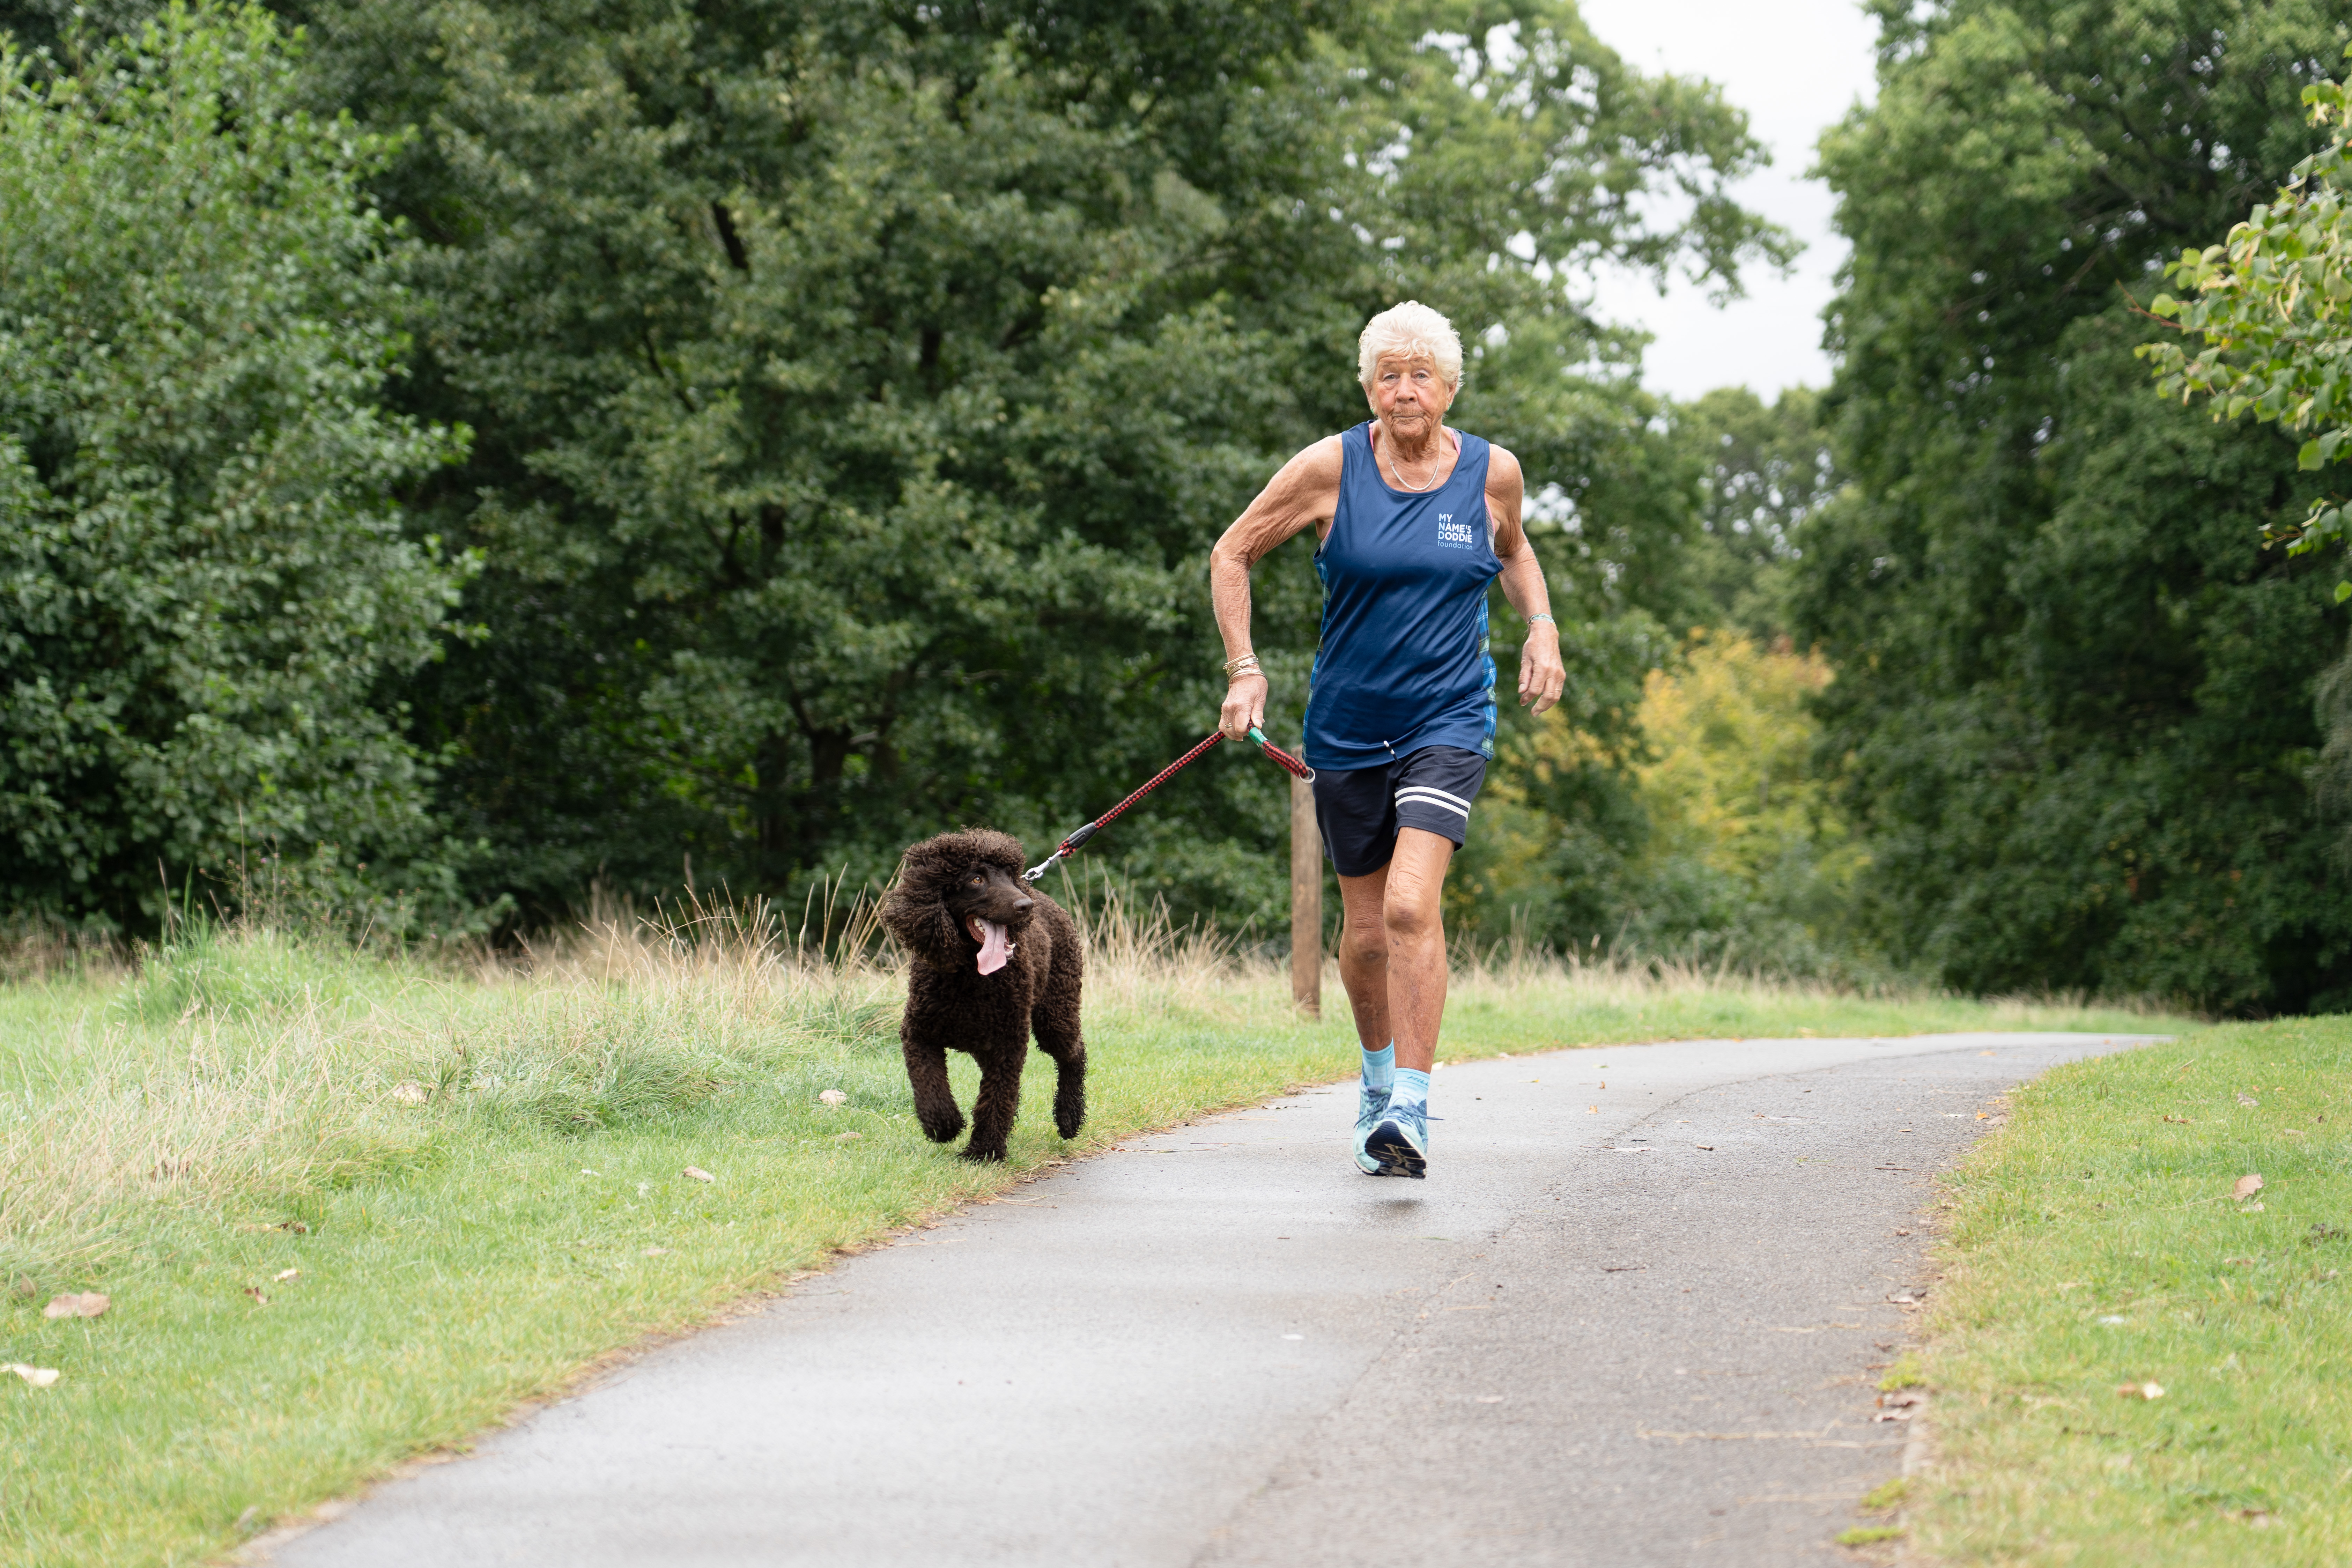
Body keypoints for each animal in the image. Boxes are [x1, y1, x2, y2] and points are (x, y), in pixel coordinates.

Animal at [880, 827, 1086, 1161]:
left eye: (1007, 876)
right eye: (976, 879)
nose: (1025, 906)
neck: (969, 977)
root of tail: (1041, 895)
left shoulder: (1008, 1043)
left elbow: (996, 1097)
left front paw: (983, 1152)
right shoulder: (917, 1033)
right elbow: (929, 1085)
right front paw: (944, 1126)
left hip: (1056, 1012)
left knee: (1074, 1053)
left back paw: (1069, 1117)